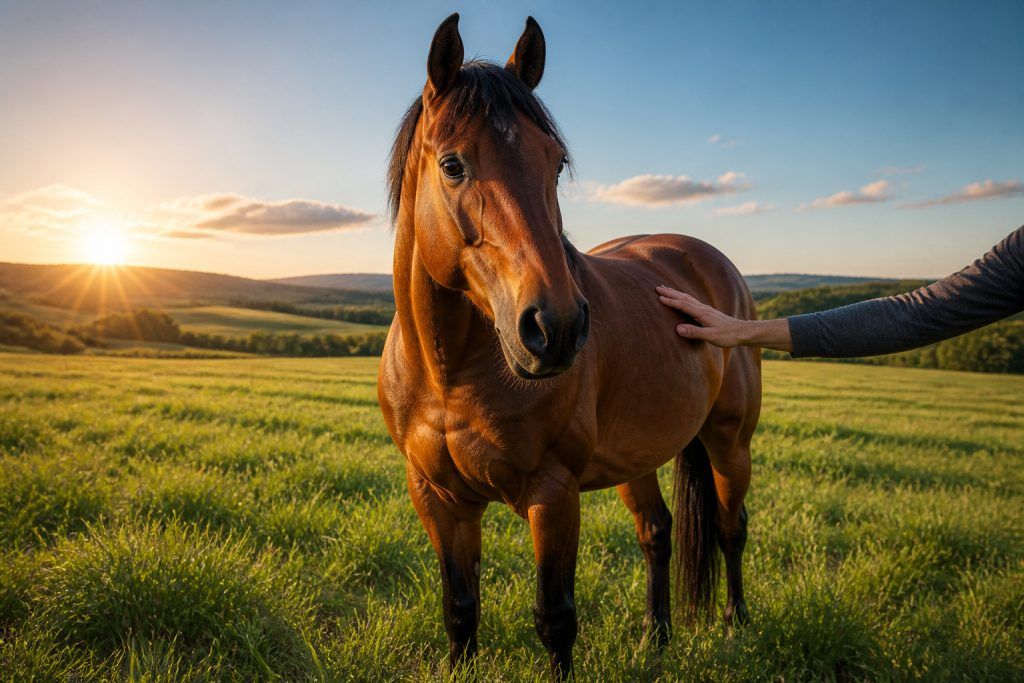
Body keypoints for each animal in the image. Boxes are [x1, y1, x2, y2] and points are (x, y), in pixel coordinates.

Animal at [378, 13, 761, 678]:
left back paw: (735, 623)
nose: (554, 328)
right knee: (657, 532)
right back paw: (655, 637)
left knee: (729, 527)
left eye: (556, 163)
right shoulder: (438, 498)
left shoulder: (552, 494)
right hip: (638, 452)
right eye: (452, 165)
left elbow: (555, 619)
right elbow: (460, 609)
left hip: (728, 442)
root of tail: (711, 261)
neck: (449, 372)